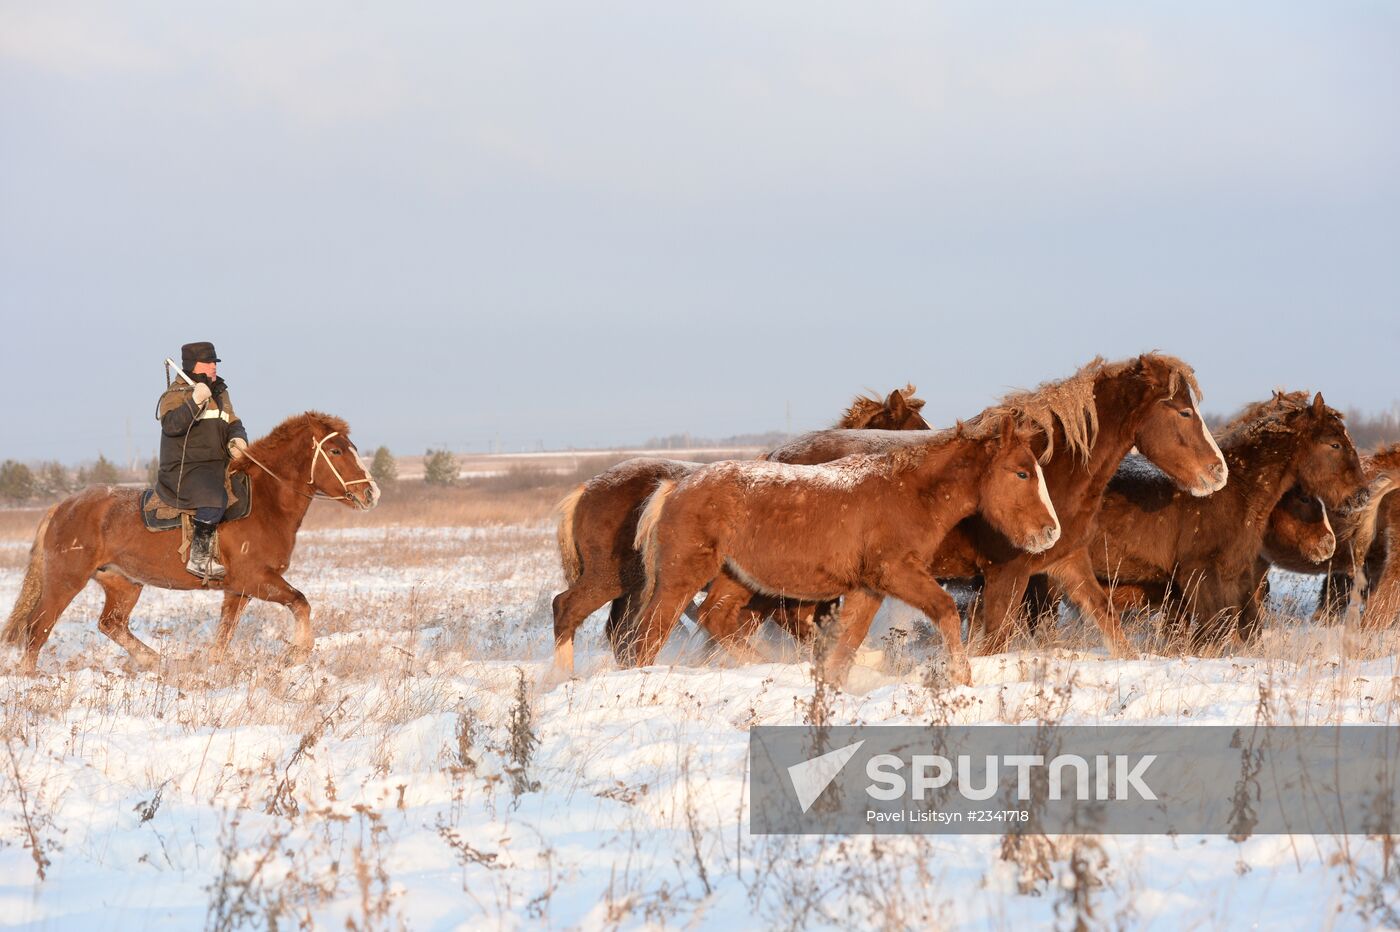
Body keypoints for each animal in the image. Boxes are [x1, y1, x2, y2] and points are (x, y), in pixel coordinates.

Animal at [548, 383, 929, 668]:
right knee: (569, 609)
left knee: (620, 632)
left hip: (634, 587)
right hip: (613, 577)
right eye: (918, 430)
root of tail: (587, 489)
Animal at [630, 414, 1052, 682]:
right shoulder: (896, 573)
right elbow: (946, 611)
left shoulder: (869, 588)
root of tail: (676, 487)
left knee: (714, 619)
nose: (1050, 531)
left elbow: (847, 640)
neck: (907, 494)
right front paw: (962, 680)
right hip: (682, 576)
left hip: (739, 578)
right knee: (651, 631)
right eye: (1021, 473)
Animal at [761, 352, 1232, 657]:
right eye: (1183, 411)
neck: (1051, 469)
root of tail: (774, 457)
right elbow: (995, 643)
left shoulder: (1066, 562)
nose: (1218, 471)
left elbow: (1107, 620)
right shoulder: (1007, 572)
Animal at [1086, 389, 1360, 643]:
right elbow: (1214, 626)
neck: (1238, 489)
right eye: (1335, 444)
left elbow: (1246, 626)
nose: (1361, 494)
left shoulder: (1235, 574)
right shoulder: (1199, 574)